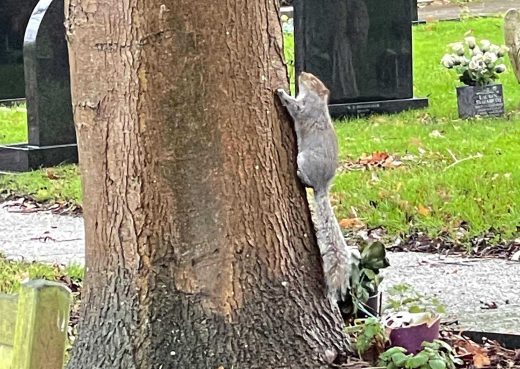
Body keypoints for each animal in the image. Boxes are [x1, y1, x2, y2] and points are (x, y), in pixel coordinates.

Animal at [276, 71, 358, 302]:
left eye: (313, 80)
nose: (302, 73)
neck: (318, 100)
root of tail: (322, 185)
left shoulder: (305, 109)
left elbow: (294, 107)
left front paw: (281, 92)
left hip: (304, 159)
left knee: (306, 179)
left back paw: (299, 175)